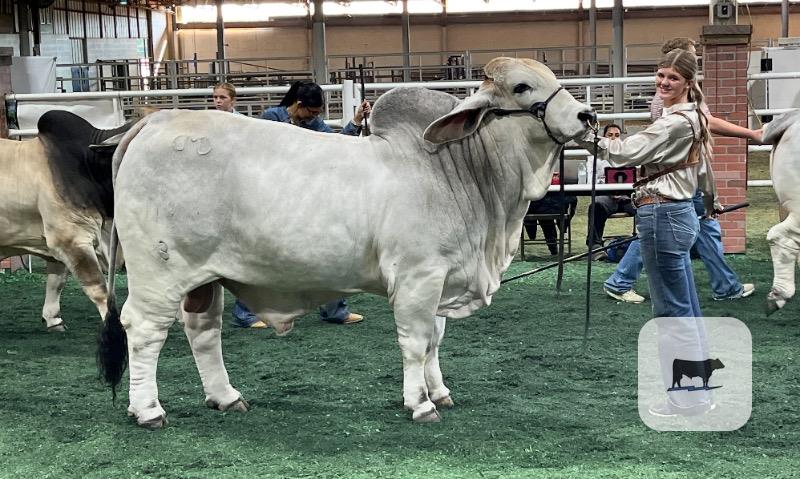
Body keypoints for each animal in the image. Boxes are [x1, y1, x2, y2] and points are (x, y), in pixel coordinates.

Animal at [98, 57, 596, 428]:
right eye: (522, 87)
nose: (586, 116)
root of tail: (155, 121)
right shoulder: (417, 278)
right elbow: (416, 341)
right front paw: (420, 403)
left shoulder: (442, 277)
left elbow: (435, 340)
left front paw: (440, 391)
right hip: (158, 271)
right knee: (144, 330)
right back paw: (148, 410)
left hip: (206, 276)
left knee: (203, 331)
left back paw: (226, 397)